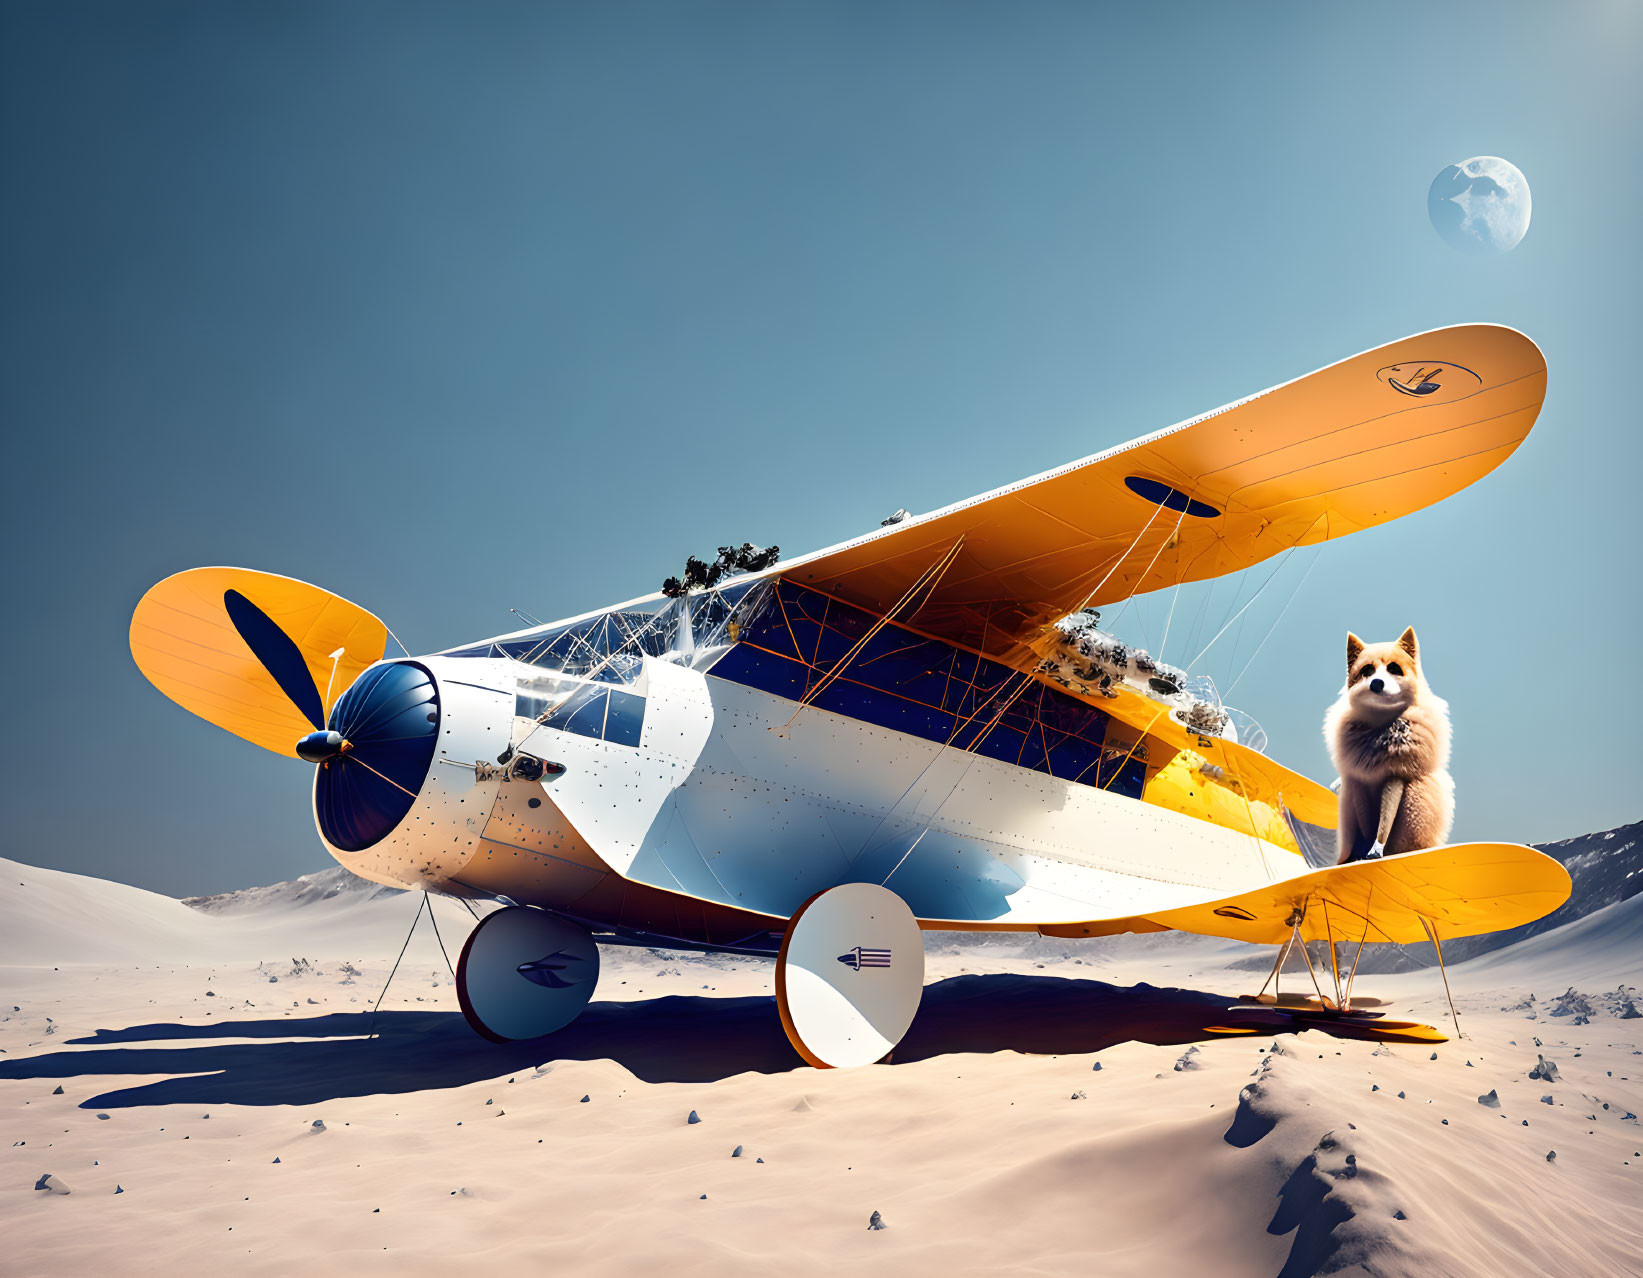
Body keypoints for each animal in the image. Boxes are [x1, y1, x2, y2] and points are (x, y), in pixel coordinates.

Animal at [1320, 624, 1452, 860]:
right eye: (1367, 671)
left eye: (1394, 668)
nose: (1376, 683)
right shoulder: (1356, 782)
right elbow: (1362, 827)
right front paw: (1356, 855)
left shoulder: (1396, 774)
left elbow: (1383, 825)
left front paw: (1375, 849)